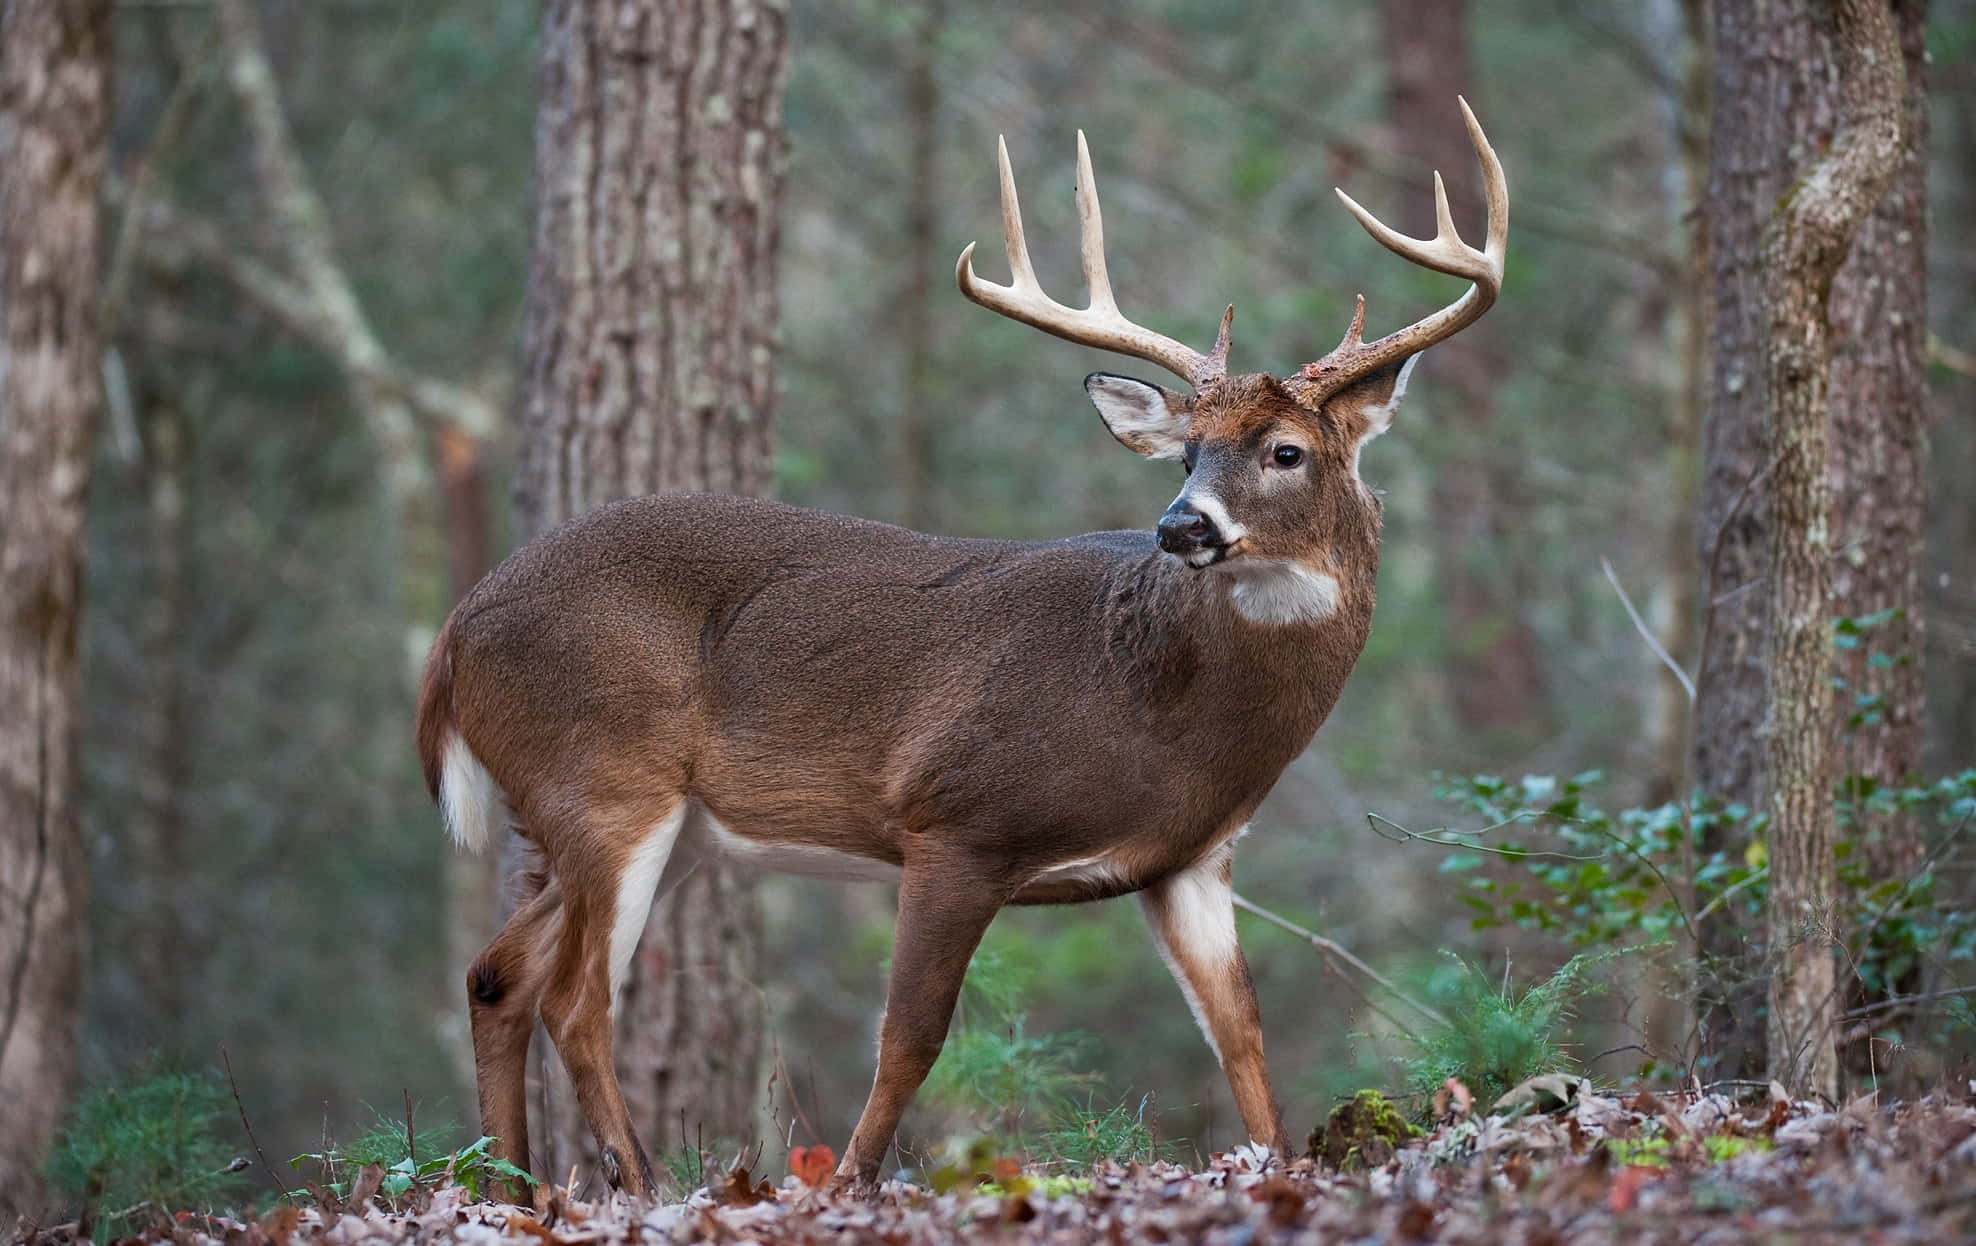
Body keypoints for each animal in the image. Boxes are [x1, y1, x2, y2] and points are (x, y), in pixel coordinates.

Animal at [415, 99, 1507, 1198]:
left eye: (1286, 451)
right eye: (1189, 452)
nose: (1180, 526)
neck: (1159, 705)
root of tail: (455, 634)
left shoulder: (1192, 859)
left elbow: (1242, 1037)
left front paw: (1279, 1167)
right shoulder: (954, 818)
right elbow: (911, 1034)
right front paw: (850, 1184)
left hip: (657, 824)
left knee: (497, 974)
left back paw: (509, 1187)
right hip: (603, 778)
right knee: (575, 998)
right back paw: (636, 1185)